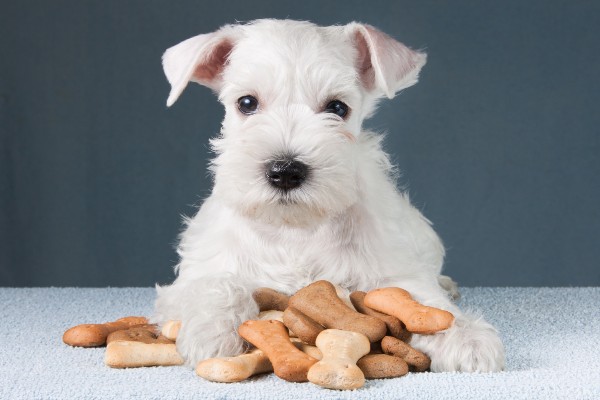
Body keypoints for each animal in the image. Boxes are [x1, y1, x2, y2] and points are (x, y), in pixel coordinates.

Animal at [155, 18, 506, 374]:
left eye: (337, 108)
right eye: (246, 103)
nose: (285, 172)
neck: (296, 229)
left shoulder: (393, 273)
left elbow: (421, 300)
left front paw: (466, 337)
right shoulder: (195, 275)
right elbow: (217, 284)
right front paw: (213, 330)